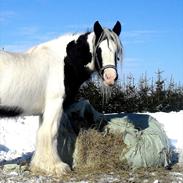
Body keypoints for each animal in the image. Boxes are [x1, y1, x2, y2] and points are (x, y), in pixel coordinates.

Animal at [0, 21, 123, 176]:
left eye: (116, 51)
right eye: (98, 50)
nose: (110, 77)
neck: (63, 62)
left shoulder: (45, 111)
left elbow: (42, 132)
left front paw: (40, 165)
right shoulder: (55, 103)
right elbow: (50, 132)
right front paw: (57, 166)